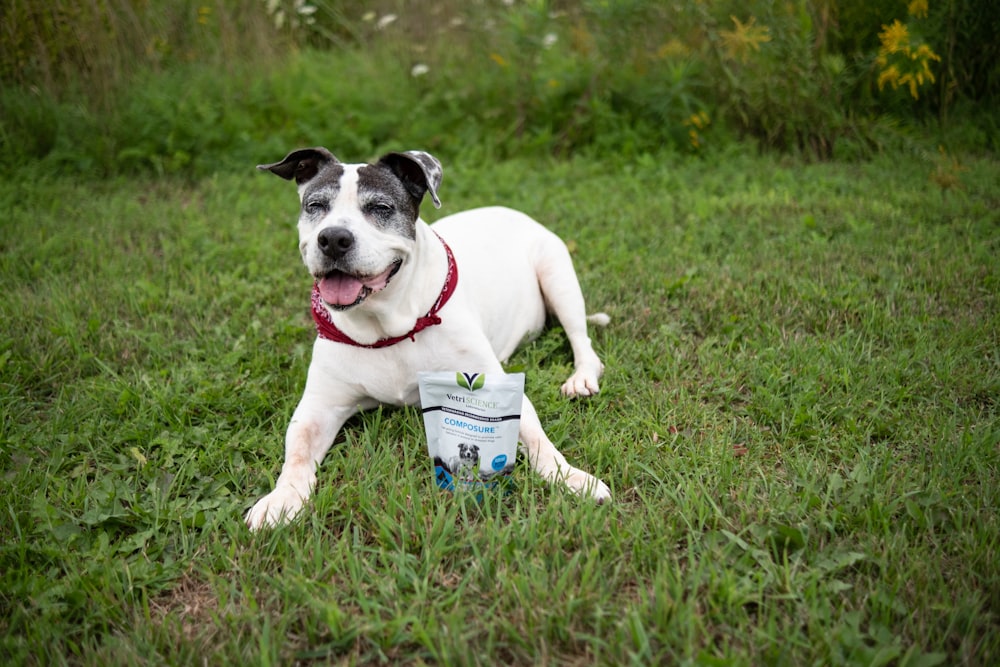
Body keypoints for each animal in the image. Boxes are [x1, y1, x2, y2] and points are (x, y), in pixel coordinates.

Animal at [246, 149, 612, 528]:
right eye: (316, 205)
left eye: (381, 207)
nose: (333, 238)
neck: (388, 326)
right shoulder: (319, 408)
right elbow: (298, 453)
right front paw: (282, 499)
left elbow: (539, 440)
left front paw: (572, 478)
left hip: (557, 274)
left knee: (582, 341)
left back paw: (582, 378)